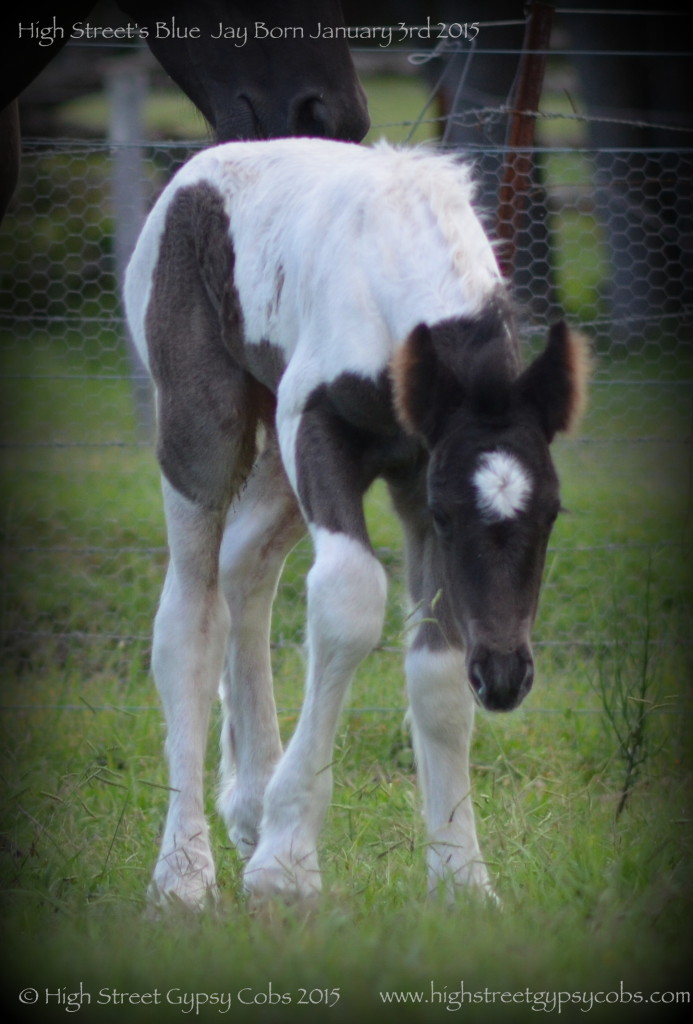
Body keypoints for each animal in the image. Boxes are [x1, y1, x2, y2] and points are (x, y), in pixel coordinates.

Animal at [122, 138, 585, 913]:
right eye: (448, 513)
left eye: (552, 512)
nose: (504, 678)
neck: (392, 264)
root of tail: (193, 170)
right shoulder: (318, 429)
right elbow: (349, 599)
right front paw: (286, 865)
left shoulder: (415, 468)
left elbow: (435, 673)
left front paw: (462, 878)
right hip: (202, 430)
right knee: (189, 618)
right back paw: (183, 873)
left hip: (277, 466)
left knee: (244, 569)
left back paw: (248, 802)